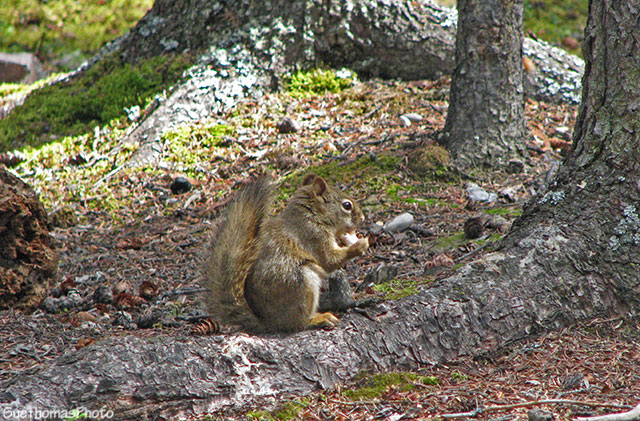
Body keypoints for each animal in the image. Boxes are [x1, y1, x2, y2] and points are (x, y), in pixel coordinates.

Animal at [202, 174, 369, 333]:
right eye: (346, 205)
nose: (362, 218)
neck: (312, 216)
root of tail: (271, 323)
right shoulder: (313, 236)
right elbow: (329, 260)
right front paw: (360, 245)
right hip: (303, 282)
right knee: (299, 323)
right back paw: (318, 319)